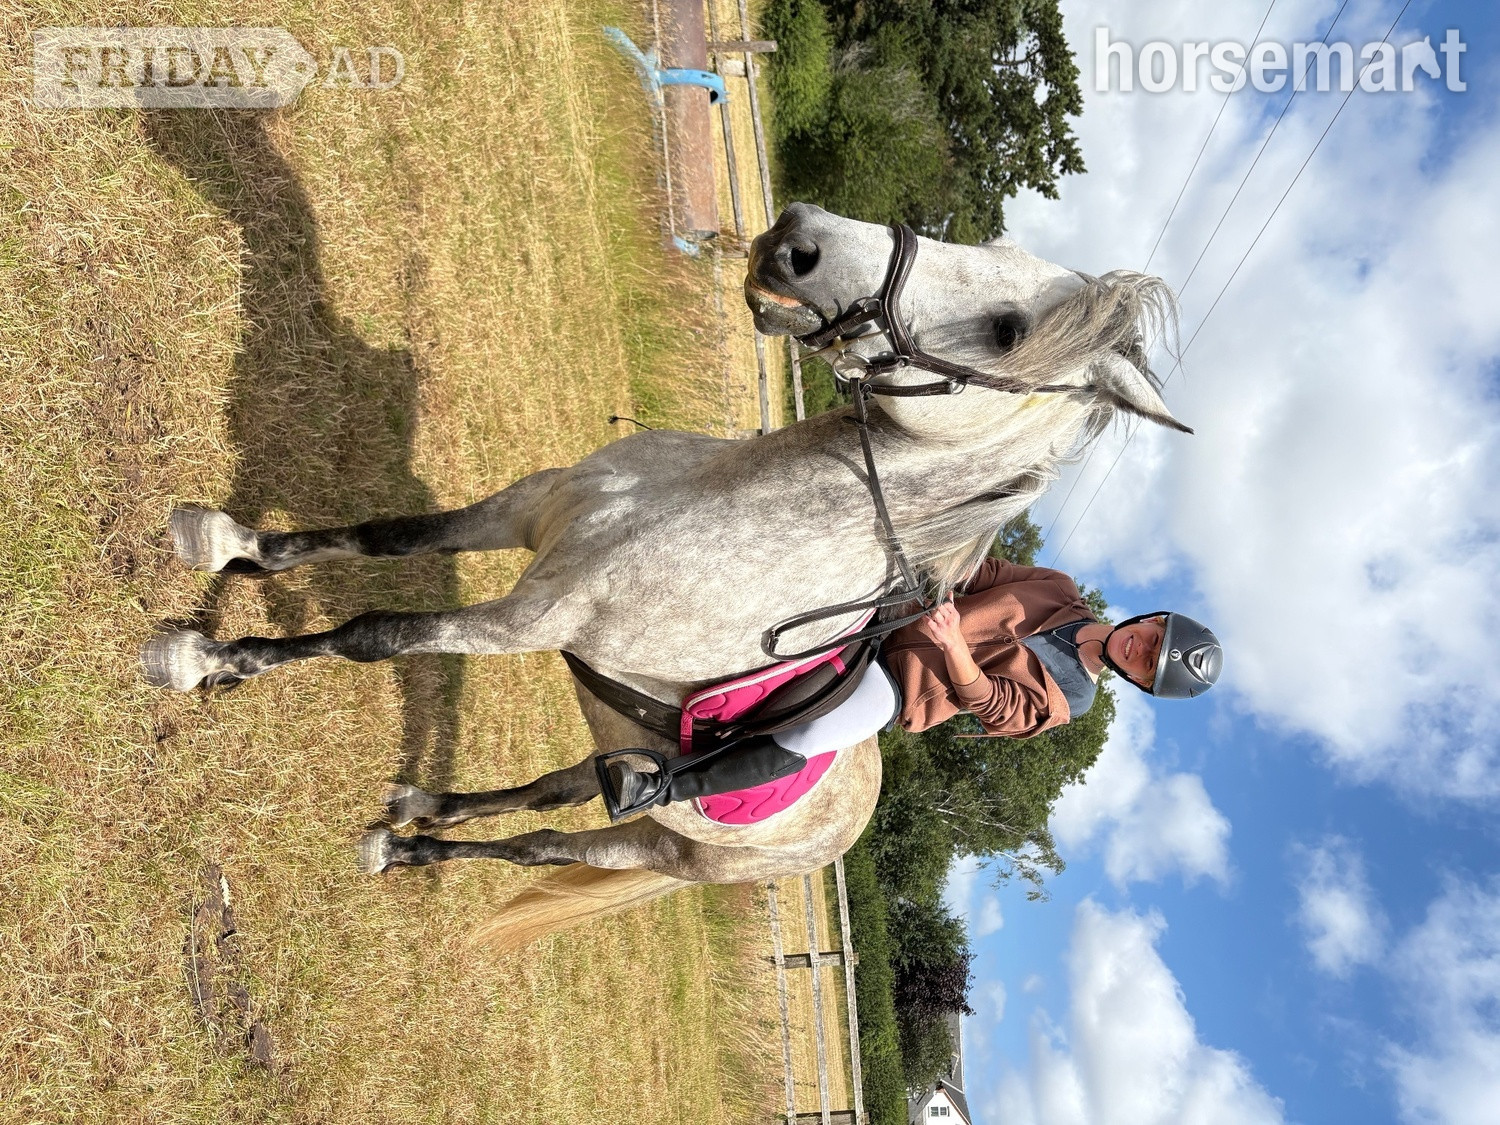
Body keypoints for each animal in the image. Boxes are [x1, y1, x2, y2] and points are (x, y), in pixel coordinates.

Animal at [140, 203, 1185, 950]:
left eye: (1009, 330)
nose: (797, 240)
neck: (710, 502)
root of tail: (844, 830)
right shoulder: (528, 510)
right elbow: (387, 537)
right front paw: (225, 542)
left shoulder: (533, 616)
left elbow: (374, 635)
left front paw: (205, 658)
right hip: (625, 761)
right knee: (554, 791)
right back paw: (422, 810)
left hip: (661, 845)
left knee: (542, 842)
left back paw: (406, 846)